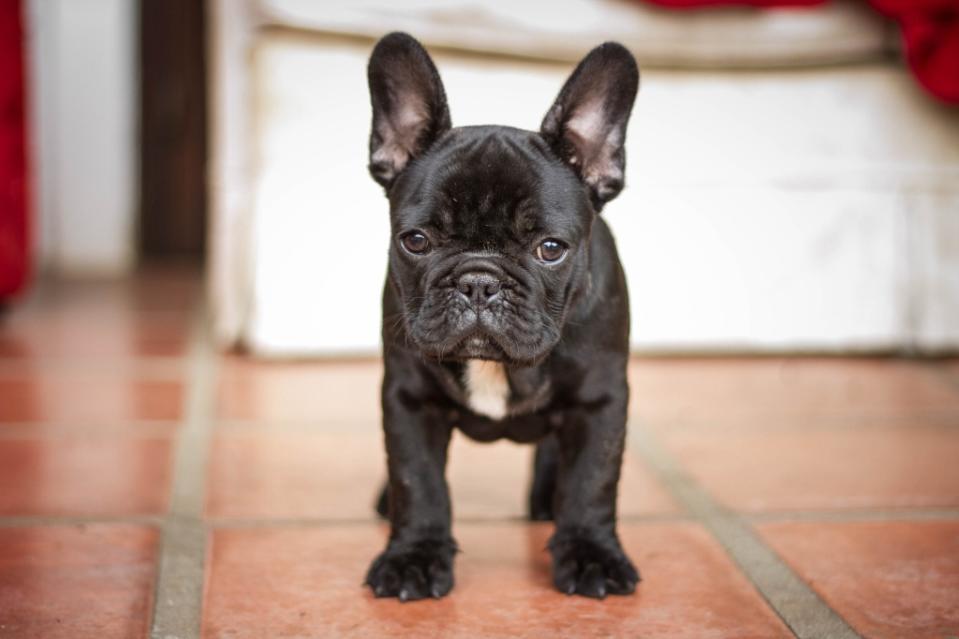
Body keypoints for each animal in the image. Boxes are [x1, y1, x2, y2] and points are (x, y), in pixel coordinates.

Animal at [364, 32, 640, 604]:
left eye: (551, 249)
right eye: (415, 241)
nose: (479, 281)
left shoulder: (600, 400)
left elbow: (593, 481)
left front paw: (592, 554)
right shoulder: (408, 398)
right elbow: (416, 480)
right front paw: (413, 557)